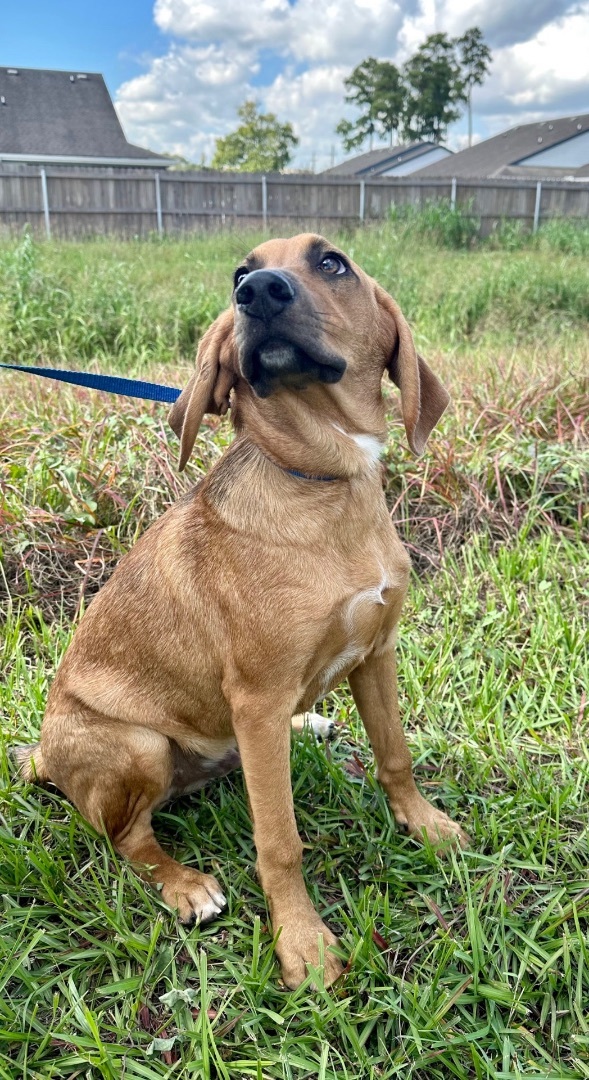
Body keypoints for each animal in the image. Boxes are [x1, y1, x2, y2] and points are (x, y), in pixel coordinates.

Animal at [18, 234, 466, 989]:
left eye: (332, 263)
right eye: (238, 273)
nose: (257, 293)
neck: (324, 482)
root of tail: (43, 758)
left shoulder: (375, 654)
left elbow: (394, 756)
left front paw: (425, 823)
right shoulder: (257, 700)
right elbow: (279, 842)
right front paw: (303, 944)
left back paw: (310, 722)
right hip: (139, 746)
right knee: (125, 838)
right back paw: (183, 884)